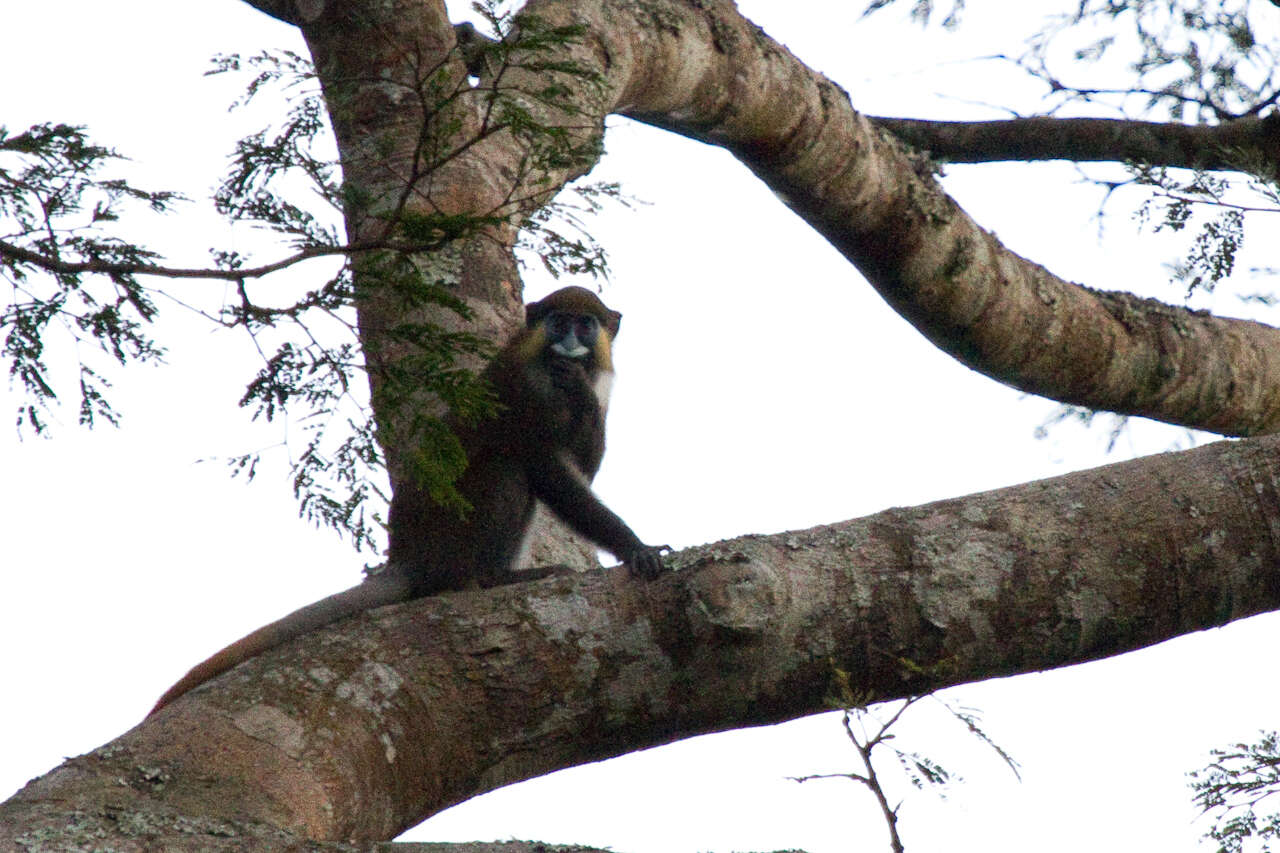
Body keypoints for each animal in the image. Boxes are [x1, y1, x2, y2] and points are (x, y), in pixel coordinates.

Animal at [147, 286, 670, 717]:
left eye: (586, 324)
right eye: (558, 322)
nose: (569, 342)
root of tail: (411, 558)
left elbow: (583, 462)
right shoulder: (528, 396)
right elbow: (554, 477)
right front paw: (637, 549)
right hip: (455, 540)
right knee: (507, 469)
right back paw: (495, 577)